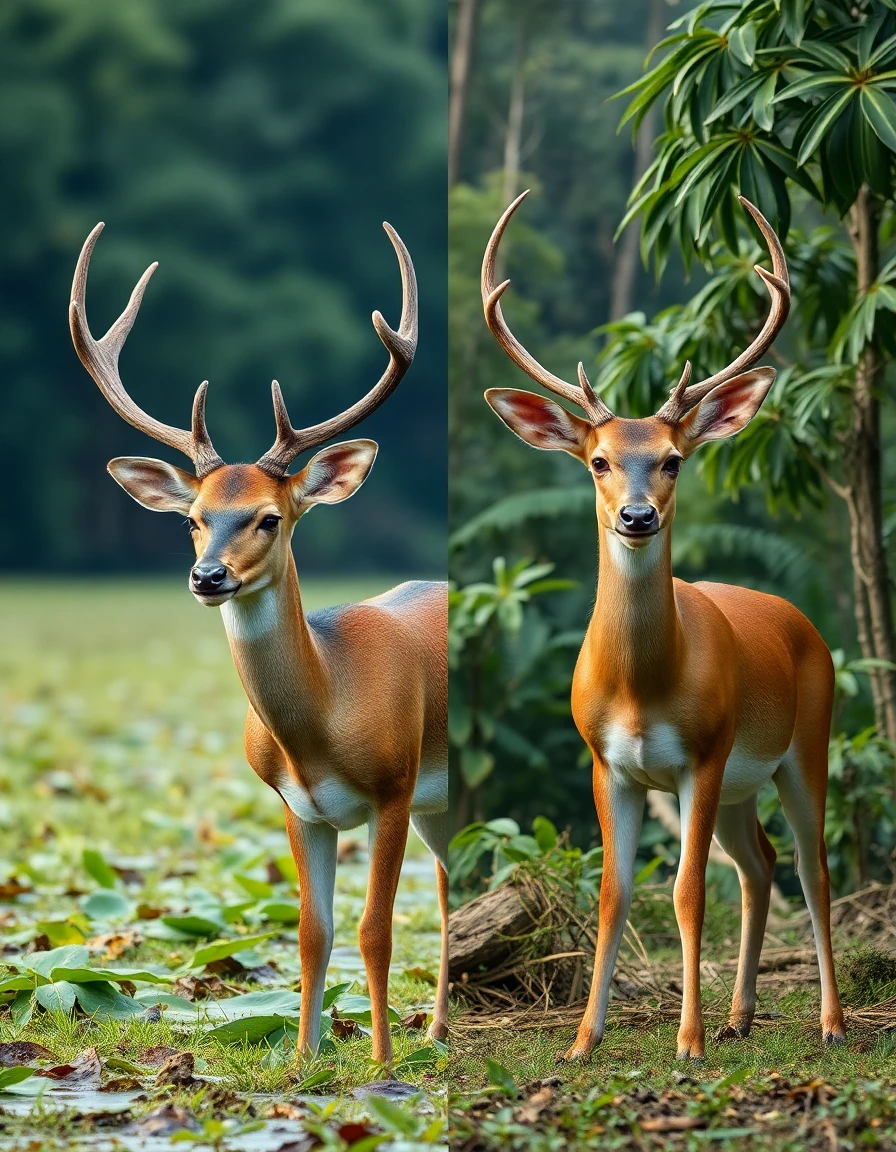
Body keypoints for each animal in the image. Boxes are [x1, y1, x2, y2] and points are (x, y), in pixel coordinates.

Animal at [69, 221, 448, 1066]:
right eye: (193, 518)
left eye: (270, 517)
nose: (208, 576)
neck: (323, 718)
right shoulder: (297, 807)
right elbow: (313, 933)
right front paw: (306, 1058)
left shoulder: (393, 788)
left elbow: (375, 932)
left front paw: (381, 1062)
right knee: (453, 874)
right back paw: (441, 1030)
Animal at [481, 191, 845, 1062]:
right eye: (598, 461)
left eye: (674, 458)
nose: (638, 516)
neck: (644, 689)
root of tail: (802, 624)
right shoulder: (604, 761)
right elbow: (615, 892)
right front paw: (583, 1041)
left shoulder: (703, 756)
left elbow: (683, 892)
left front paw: (688, 1041)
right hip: (747, 781)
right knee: (760, 864)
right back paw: (744, 1014)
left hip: (805, 740)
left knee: (810, 866)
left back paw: (830, 1022)